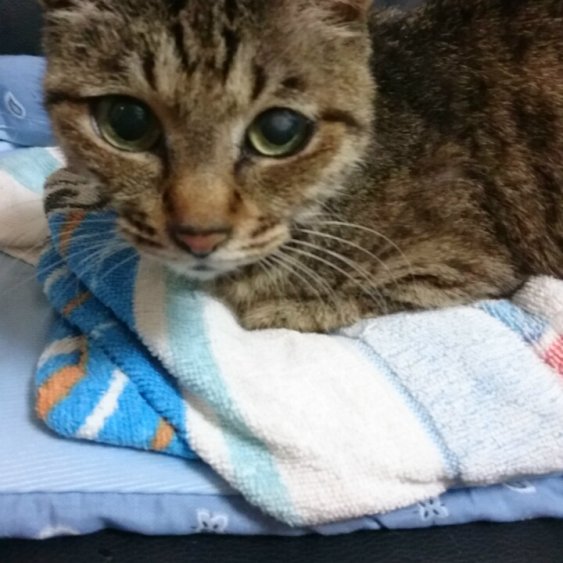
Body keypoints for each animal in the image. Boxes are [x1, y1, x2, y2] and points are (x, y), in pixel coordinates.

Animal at [40, 0, 563, 332]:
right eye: (126, 123)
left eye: (279, 131)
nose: (199, 235)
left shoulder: (463, 268)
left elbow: (353, 297)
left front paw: (280, 306)